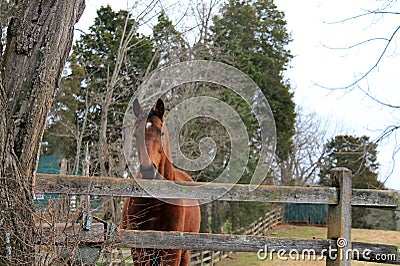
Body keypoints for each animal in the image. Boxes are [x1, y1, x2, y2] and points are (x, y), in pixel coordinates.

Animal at [120, 98, 200, 264]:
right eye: (136, 135)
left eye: (161, 132)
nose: (148, 169)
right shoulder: (140, 251)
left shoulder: (172, 252)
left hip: (185, 254)